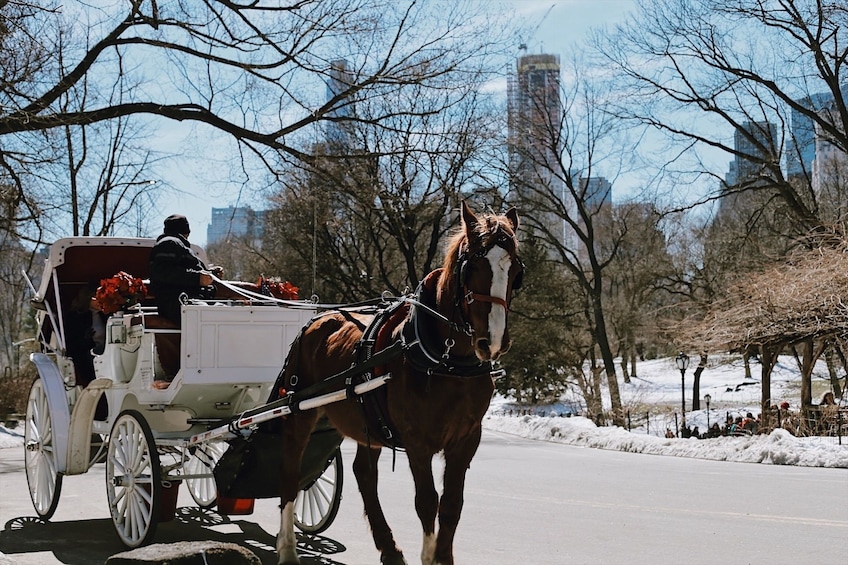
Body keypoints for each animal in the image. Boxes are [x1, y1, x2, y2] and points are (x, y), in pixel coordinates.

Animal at [274, 203, 520, 564]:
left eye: (515, 271)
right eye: (472, 265)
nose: (494, 341)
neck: (446, 359)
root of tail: (317, 318)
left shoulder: (467, 438)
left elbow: (451, 505)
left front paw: (441, 556)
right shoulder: (418, 441)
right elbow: (427, 502)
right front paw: (429, 555)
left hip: (366, 420)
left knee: (364, 473)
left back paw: (388, 547)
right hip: (300, 413)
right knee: (291, 473)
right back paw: (288, 548)